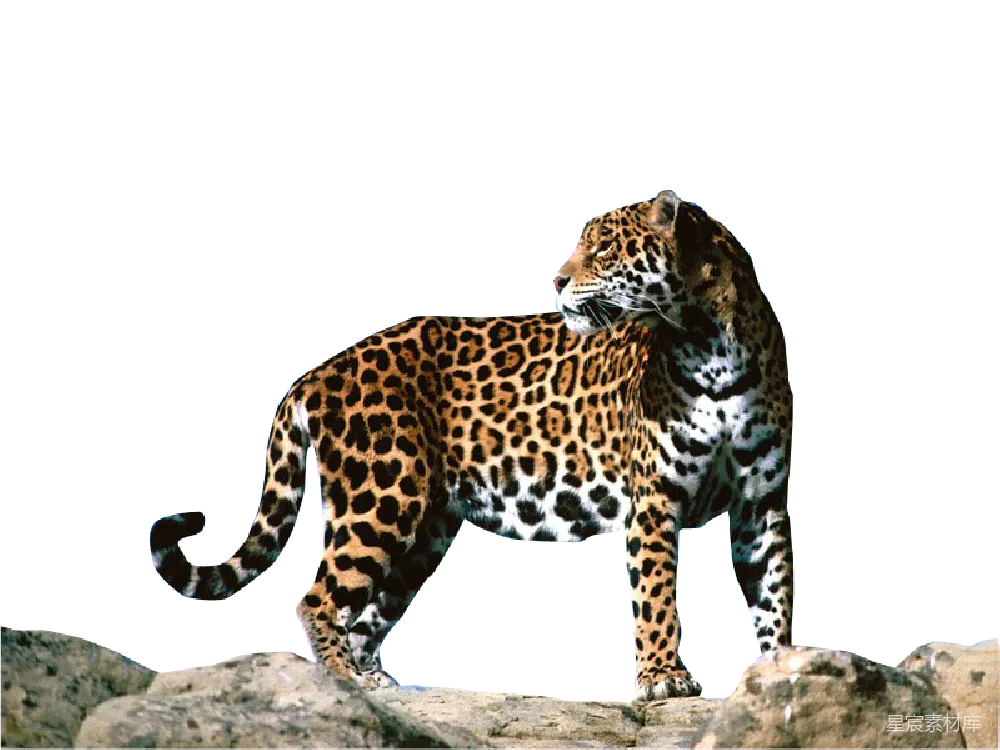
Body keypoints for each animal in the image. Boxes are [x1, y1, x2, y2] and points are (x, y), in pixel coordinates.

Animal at [148, 190, 793, 701]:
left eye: (605, 247)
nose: (557, 281)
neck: (711, 345)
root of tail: (320, 370)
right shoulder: (656, 498)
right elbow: (658, 592)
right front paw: (664, 678)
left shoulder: (764, 503)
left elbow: (774, 594)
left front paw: (782, 675)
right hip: (382, 493)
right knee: (317, 594)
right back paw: (344, 681)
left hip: (426, 528)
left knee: (368, 608)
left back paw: (375, 681)